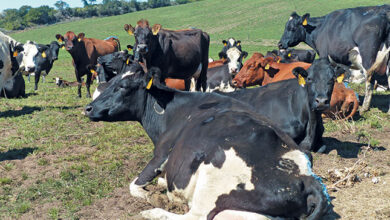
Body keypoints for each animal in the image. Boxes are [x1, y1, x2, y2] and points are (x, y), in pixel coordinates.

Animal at [84, 63, 330, 220]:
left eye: (123, 87)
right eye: (111, 80)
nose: (88, 108)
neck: (170, 110)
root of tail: (307, 179)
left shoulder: (161, 154)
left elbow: (134, 186)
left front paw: (151, 197)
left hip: (212, 180)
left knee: (195, 217)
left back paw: (152, 212)